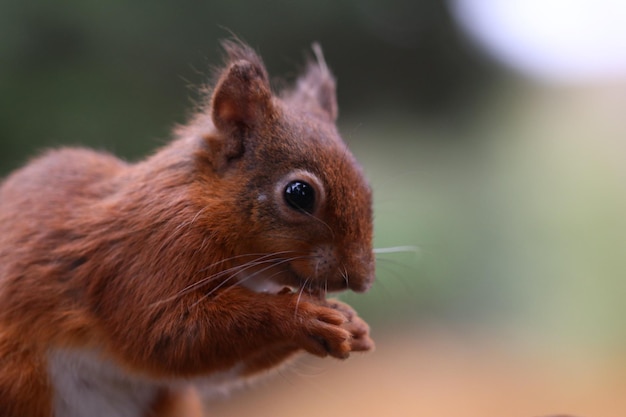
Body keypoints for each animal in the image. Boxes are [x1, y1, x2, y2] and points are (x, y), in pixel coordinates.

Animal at [0, 39, 370, 416]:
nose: (361, 280)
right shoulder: (146, 258)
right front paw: (302, 317)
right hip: (20, 378)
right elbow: (168, 334)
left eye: (366, 184)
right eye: (299, 194)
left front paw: (352, 324)